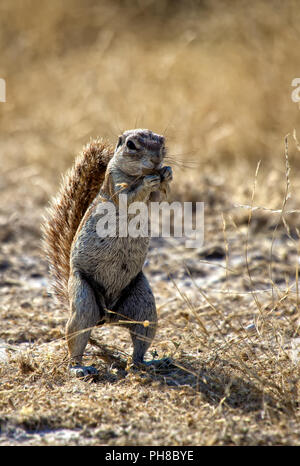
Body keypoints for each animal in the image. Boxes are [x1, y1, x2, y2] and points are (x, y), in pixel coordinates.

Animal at [43, 129, 172, 376]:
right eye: (131, 145)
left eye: (163, 142)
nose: (156, 161)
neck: (136, 174)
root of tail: (108, 317)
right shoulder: (114, 184)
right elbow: (129, 196)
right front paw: (148, 180)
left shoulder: (153, 199)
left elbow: (159, 198)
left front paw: (167, 173)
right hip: (84, 300)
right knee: (76, 338)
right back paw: (79, 368)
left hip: (144, 306)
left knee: (139, 345)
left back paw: (149, 363)